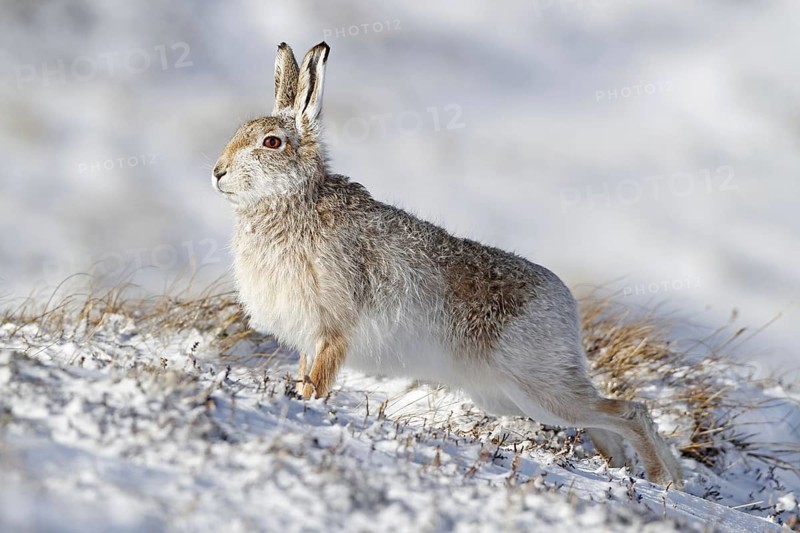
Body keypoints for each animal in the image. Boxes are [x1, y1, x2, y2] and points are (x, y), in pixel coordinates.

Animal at [212, 42, 684, 489]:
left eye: (272, 143)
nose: (217, 172)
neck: (292, 200)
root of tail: (566, 305)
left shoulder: (332, 332)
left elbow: (318, 383)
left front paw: (307, 406)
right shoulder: (310, 339)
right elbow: (304, 375)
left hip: (540, 385)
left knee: (629, 412)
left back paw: (661, 479)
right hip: (512, 394)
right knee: (603, 420)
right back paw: (639, 471)